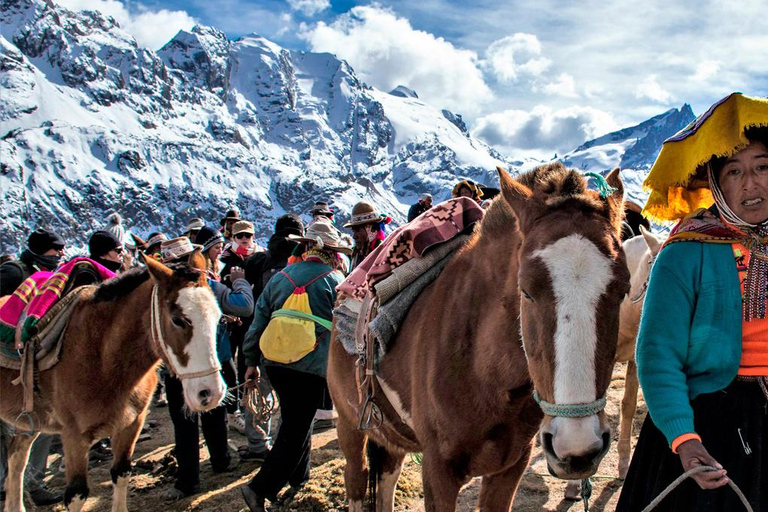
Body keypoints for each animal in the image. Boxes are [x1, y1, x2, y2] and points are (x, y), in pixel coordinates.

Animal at [328, 165, 632, 512]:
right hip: (349, 425)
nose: (578, 448)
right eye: (526, 291)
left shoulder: (512, 465)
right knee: (356, 478)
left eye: (623, 291)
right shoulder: (438, 470)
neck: (485, 370)